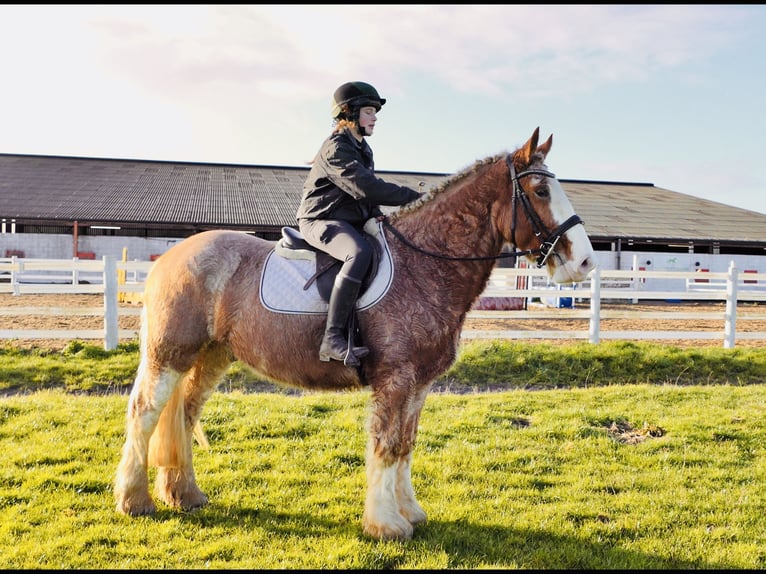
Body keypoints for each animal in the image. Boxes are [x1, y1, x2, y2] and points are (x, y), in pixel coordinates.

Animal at [114, 127, 596, 541]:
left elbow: (405, 445)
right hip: (169, 354)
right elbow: (386, 445)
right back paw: (134, 500)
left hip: (211, 355)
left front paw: (410, 512)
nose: (586, 263)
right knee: (145, 412)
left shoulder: (418, 384)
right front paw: (386, 524)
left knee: (185, 413)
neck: (424, 264)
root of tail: (171, 256)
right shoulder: (395, 380)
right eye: (540, 192)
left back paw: (184, 494)